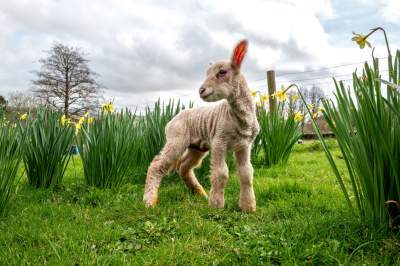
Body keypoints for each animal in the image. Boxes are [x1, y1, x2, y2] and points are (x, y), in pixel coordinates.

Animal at [144, 40, 260, 212]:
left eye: (222, 72)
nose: (201, 91)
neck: (239, 118)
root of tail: (171, 121)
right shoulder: (219, 141)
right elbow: (221, 173)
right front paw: (216, 205)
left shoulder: (244, 145)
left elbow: (246, 173)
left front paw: (248, 207)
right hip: (176, 139)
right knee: (157, 165)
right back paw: (149, 201)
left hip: (196, 147)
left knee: (184, 167)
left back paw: (200, 193)